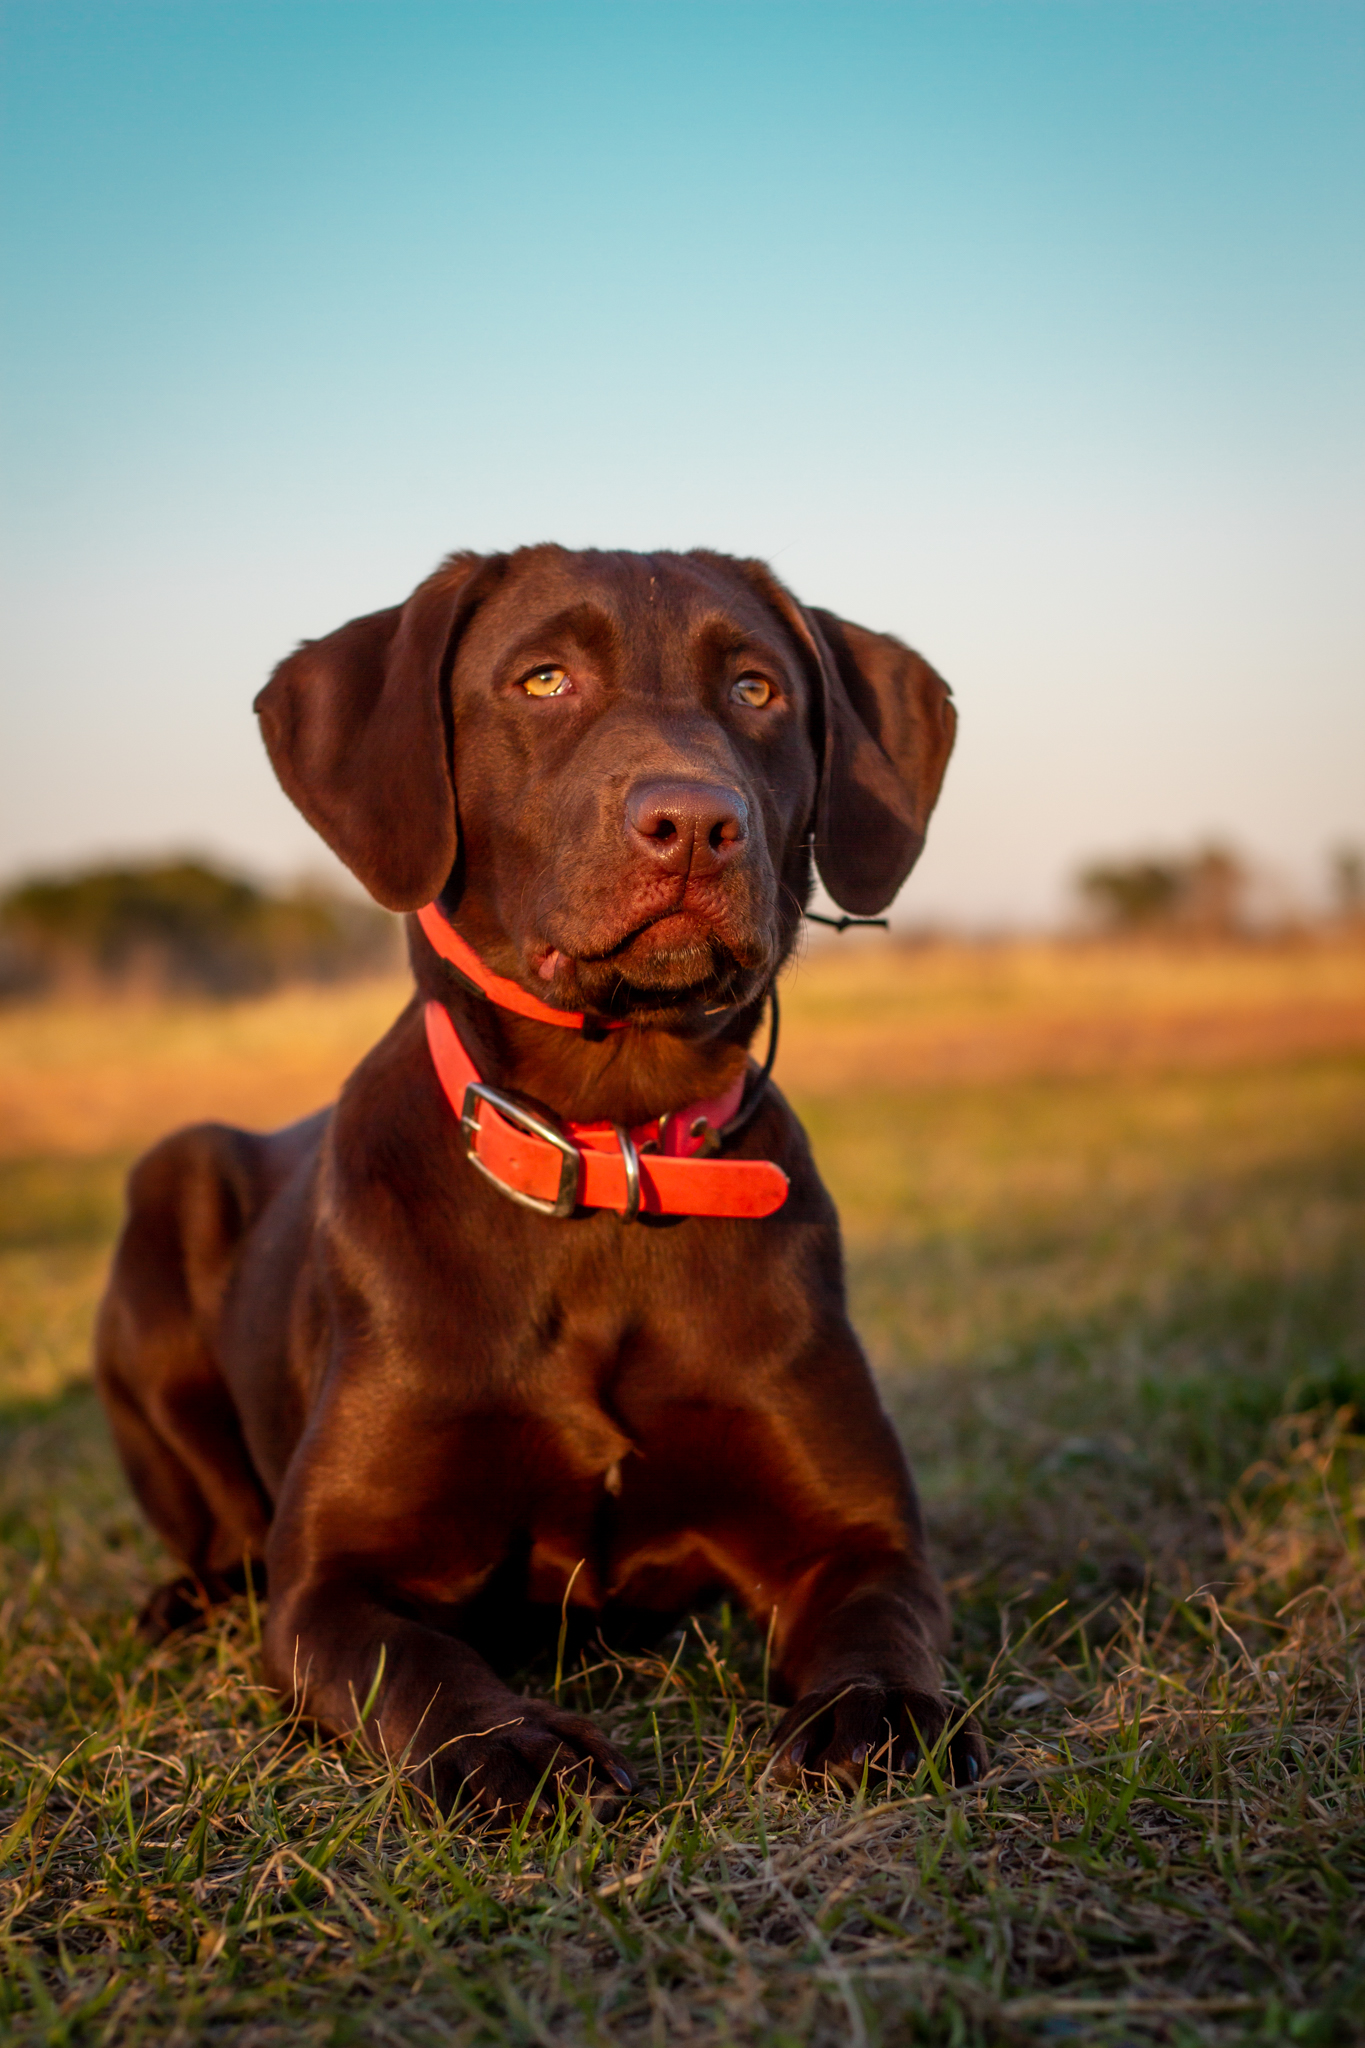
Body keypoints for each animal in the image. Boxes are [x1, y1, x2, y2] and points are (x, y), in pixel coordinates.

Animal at [96, 544, 986, 1810]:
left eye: (757, 688)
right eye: (544, 679)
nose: (694, 822)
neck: (609, 1149)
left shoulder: (858, 1534)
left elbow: (881, 1621)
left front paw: (876, 1711)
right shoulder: (334, 1579)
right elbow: (412, 1659)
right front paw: (508, 1745)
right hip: (176, 1176)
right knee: (218, 1529)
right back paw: (185, 1596)